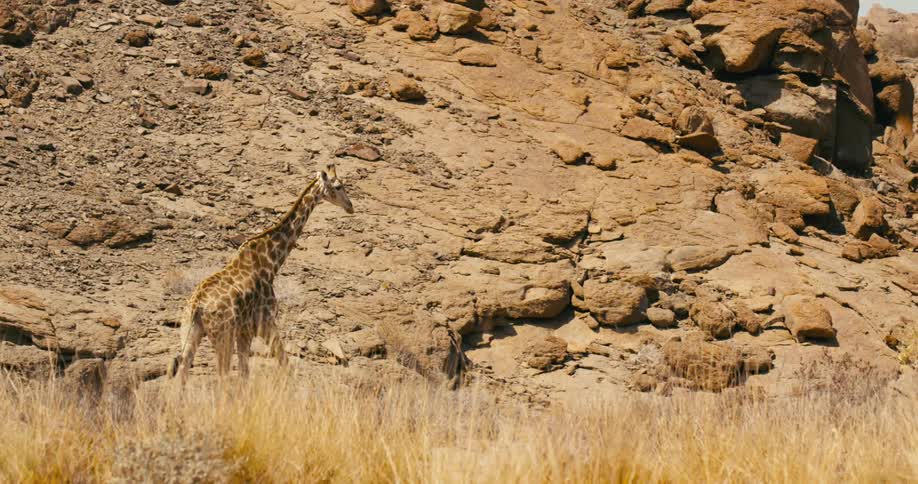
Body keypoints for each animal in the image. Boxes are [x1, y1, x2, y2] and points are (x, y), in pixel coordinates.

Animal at [168, 163, 354, 384]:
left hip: (189, 333)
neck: (270, 262)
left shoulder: (244, 330)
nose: (350, 206)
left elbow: (245, 373)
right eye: (339, 186)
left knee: (183, 373)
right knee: (221, 376)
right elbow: (282, 362)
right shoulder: (264, 322)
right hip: (222, 335)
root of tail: (196, 306)